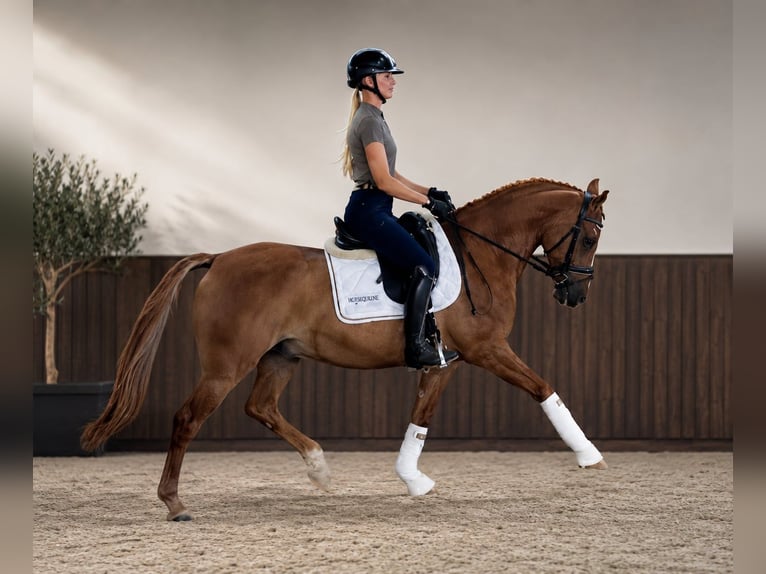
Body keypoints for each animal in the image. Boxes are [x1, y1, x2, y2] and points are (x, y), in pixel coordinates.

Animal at [81, 177, 610, 521]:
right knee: (188, 419)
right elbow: (543, 388)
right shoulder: (488, 349)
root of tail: (219, 258)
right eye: (588, 236)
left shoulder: (444, 362)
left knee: (261, 407)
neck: (480, 255)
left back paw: (318, 468)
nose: (576, 295)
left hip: (282, 356)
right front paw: (589, 455)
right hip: (226, 366)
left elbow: (421, 417)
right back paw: (174, 503)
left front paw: (412, 479)